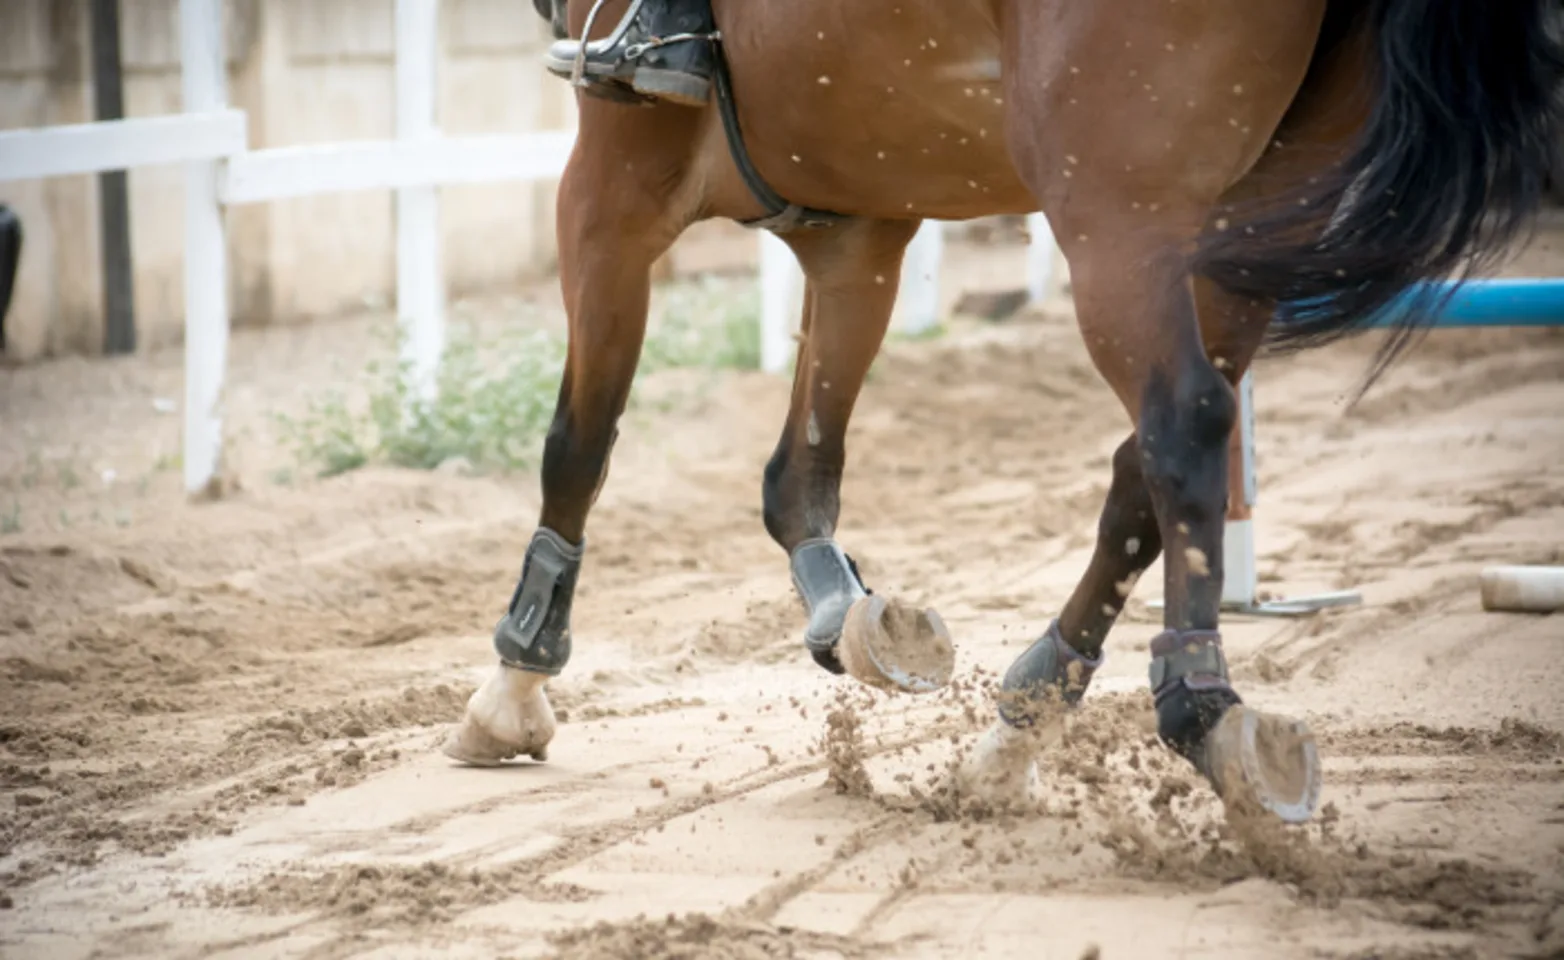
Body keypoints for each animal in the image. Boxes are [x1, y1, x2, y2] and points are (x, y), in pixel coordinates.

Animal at [442, 0, 1564, 824]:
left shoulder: (614, 181)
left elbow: (577, 444)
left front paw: (514, 685)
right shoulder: (860, 227)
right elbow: (799, 475)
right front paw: (851, 618)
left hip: (1118, 211)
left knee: (1183, 427)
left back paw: (1199, 710)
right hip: (1244, 226)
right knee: (1142, 471)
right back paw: (1020, 725)